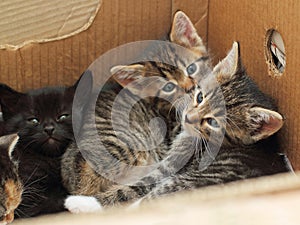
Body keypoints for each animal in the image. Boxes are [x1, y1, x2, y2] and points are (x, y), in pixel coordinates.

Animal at [78, 42, 290, 209]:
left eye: (213, 122)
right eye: (200, 97)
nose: (188, 118)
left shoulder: (172, 165)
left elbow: (134, 188)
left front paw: (85, 203)